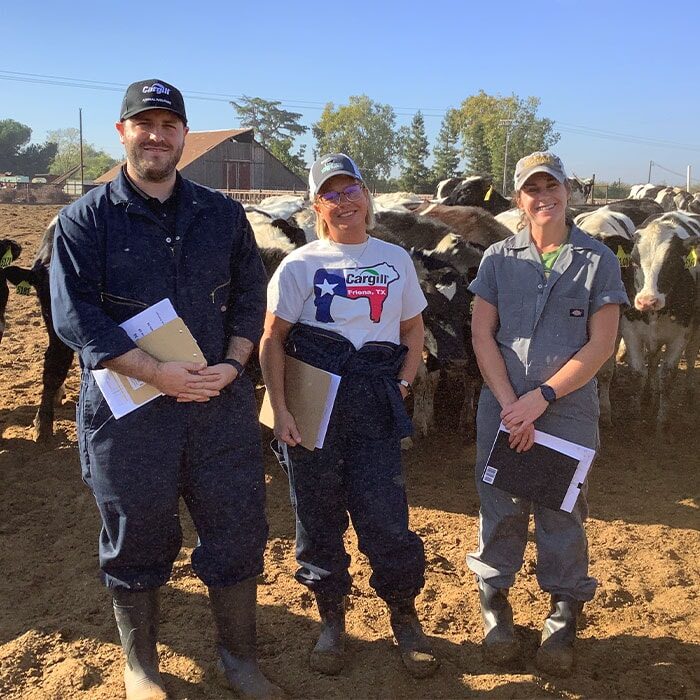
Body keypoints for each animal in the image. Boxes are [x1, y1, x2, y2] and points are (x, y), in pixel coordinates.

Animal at [616, 209, 700, 426]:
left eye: (671, 262)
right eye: (634, 262)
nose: (647, 301)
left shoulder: (681, 335)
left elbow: (667, 376)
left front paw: (662, 421)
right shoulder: (630, 330)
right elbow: (638, 372)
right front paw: (635, 413)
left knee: (690, 357)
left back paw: (689, 393)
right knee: (653, 360)